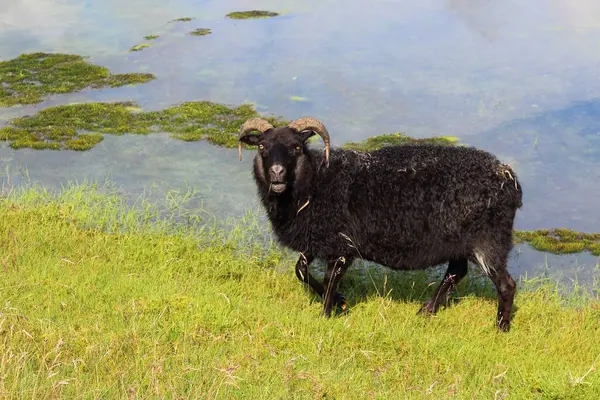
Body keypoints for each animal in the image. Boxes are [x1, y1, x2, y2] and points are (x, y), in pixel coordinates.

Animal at [237, 115, 524, 332]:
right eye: (261, 147)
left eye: (296, 147)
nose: (276, 173)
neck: (314, 183)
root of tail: (509, 178)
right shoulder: (317, 238)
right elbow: (300, 270)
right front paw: (340, 302)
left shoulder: (342, 244)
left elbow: (330, 279)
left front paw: (326, 314)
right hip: (460, 242)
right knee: (456, 272)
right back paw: (427, 311)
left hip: (488, 240)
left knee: (506, 285)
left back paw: (500, 328)